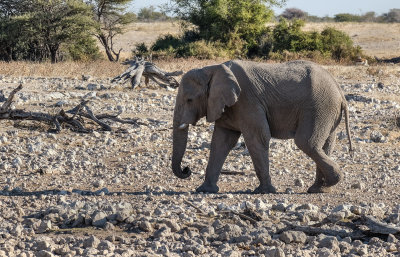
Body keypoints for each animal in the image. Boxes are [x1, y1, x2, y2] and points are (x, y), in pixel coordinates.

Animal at [170, 59, 352, 192]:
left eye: (189, 100)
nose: (186, 170)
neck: (211, 70)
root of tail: (340, 92)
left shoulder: (247, 101)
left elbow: (257, 138)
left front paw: (264, 191)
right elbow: (221, 142)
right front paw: (205, 190)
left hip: (319, 107)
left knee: (306, 142)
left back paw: (331, 182)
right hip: (327, 110)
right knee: (326, 144)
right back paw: (319, 189)